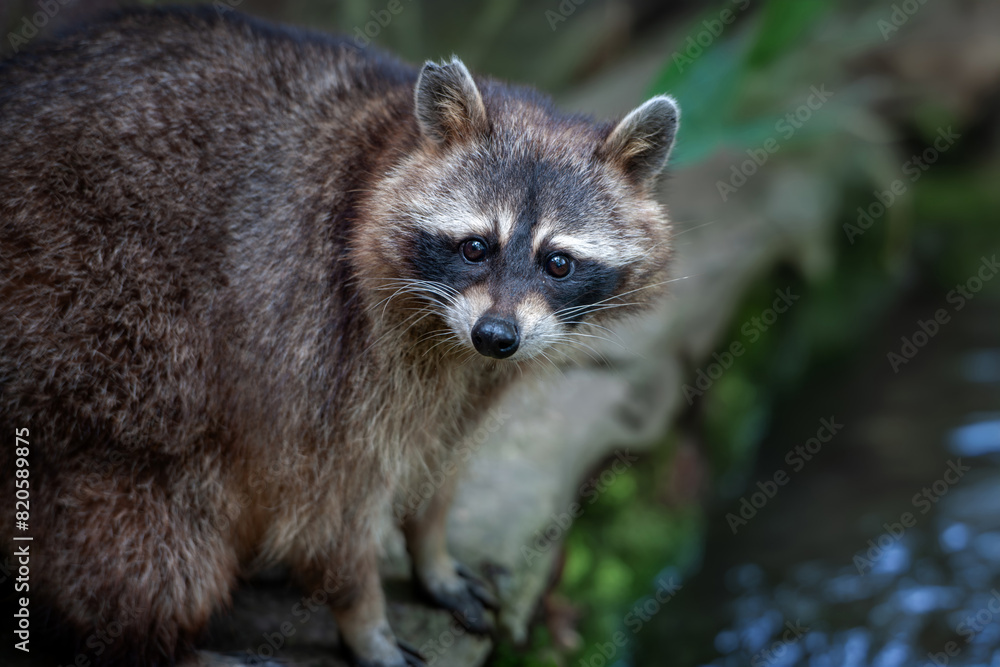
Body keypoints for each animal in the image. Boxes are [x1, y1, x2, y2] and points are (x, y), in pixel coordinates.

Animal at [0, 6, 680, 667]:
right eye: (474, 247)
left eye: (557, 263)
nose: (495, 334)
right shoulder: (317, 340)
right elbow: (329, 506)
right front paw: (363, 615)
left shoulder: (475, 376)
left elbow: (441, 457)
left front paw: (430, 547)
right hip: (97, 357)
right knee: (144, 531)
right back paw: (165, 645)